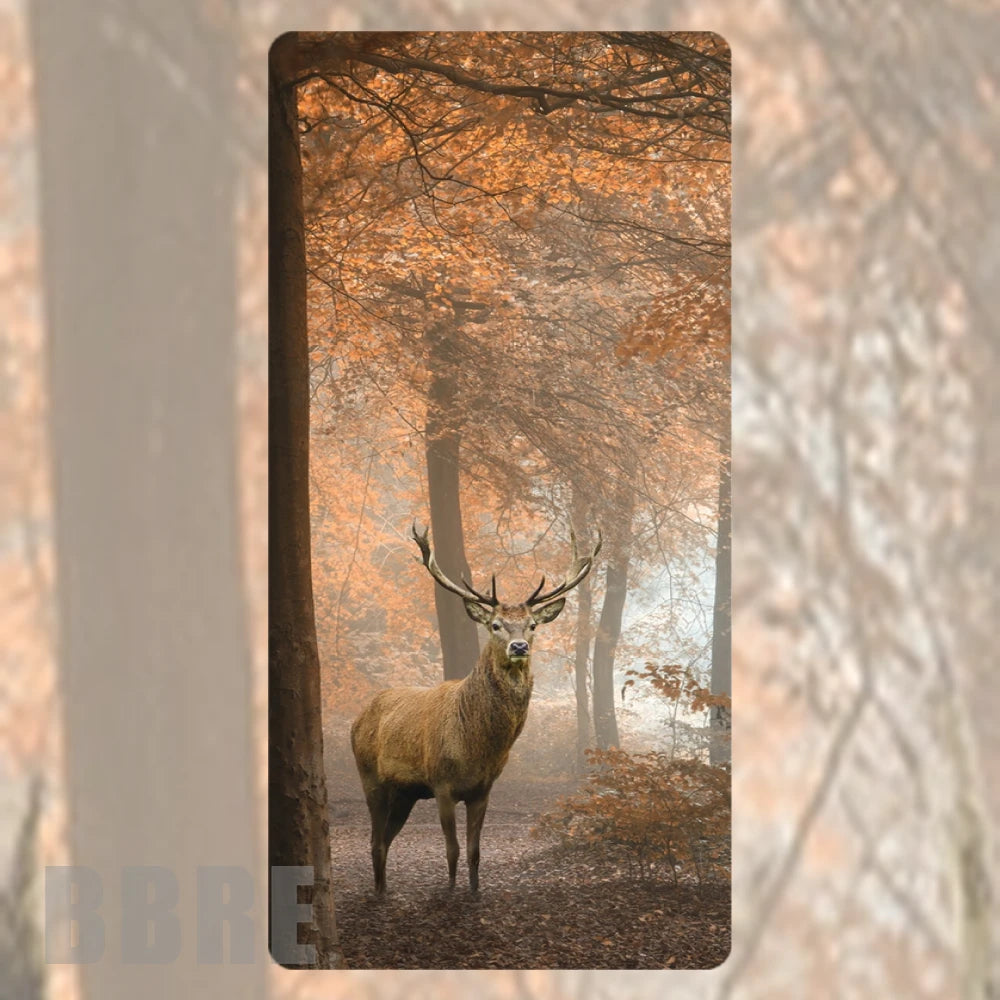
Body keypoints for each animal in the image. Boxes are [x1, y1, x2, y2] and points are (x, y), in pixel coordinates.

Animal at [350, 521, 601, 895]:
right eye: (495, 624)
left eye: (532, 625)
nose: (519, 646)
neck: (475, 745)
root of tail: (357, 717)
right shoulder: (441, 784)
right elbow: (452, 850)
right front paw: (451, 892)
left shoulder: (483, 789)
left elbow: (474, 852)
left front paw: (474, 892)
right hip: (370, 777)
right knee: (376, 840)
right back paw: (379, 894)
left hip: (405, 792)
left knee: (383, 839)